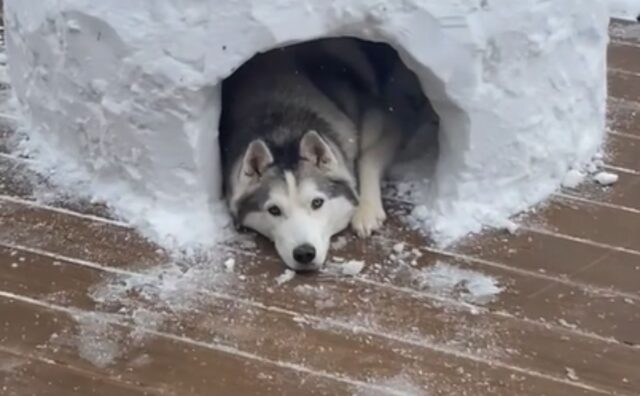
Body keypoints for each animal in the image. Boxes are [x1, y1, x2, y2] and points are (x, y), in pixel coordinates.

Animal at [220, 38, 420, 270]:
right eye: (274, 210)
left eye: (317, 203)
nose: (304, 253)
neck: (284, 129)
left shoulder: (385, 121)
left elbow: (368, 159)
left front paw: (366, 210)